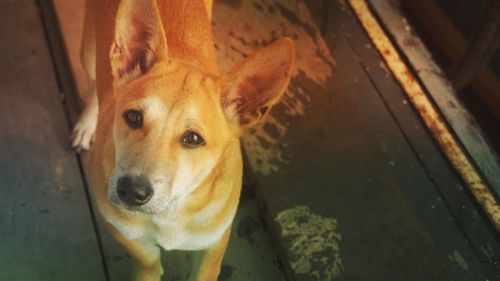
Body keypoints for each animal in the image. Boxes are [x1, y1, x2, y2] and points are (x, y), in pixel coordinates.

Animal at [72, 0, 294, 280]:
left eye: (193, 139)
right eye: (133, 117)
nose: (131, 191)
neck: (171, 211)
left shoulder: (214, 245)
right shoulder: (121, 229)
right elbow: (147, 259)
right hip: (89, 51)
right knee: (94, 82)